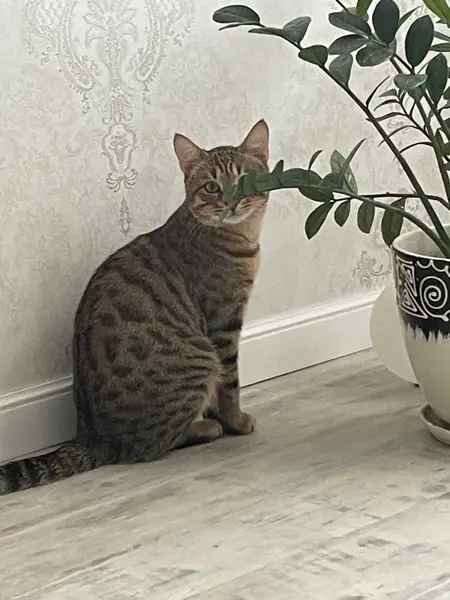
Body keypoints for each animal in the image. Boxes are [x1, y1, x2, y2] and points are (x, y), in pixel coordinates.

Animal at [0, 119, 270, 495]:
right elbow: (230, 384)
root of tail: (93, 437)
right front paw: (236, 421)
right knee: (149, 447)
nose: (231, 203)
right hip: (200, 360)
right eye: (211, 186)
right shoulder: (223, 325)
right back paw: (204, 428)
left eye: (244, 179)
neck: (240, 237)